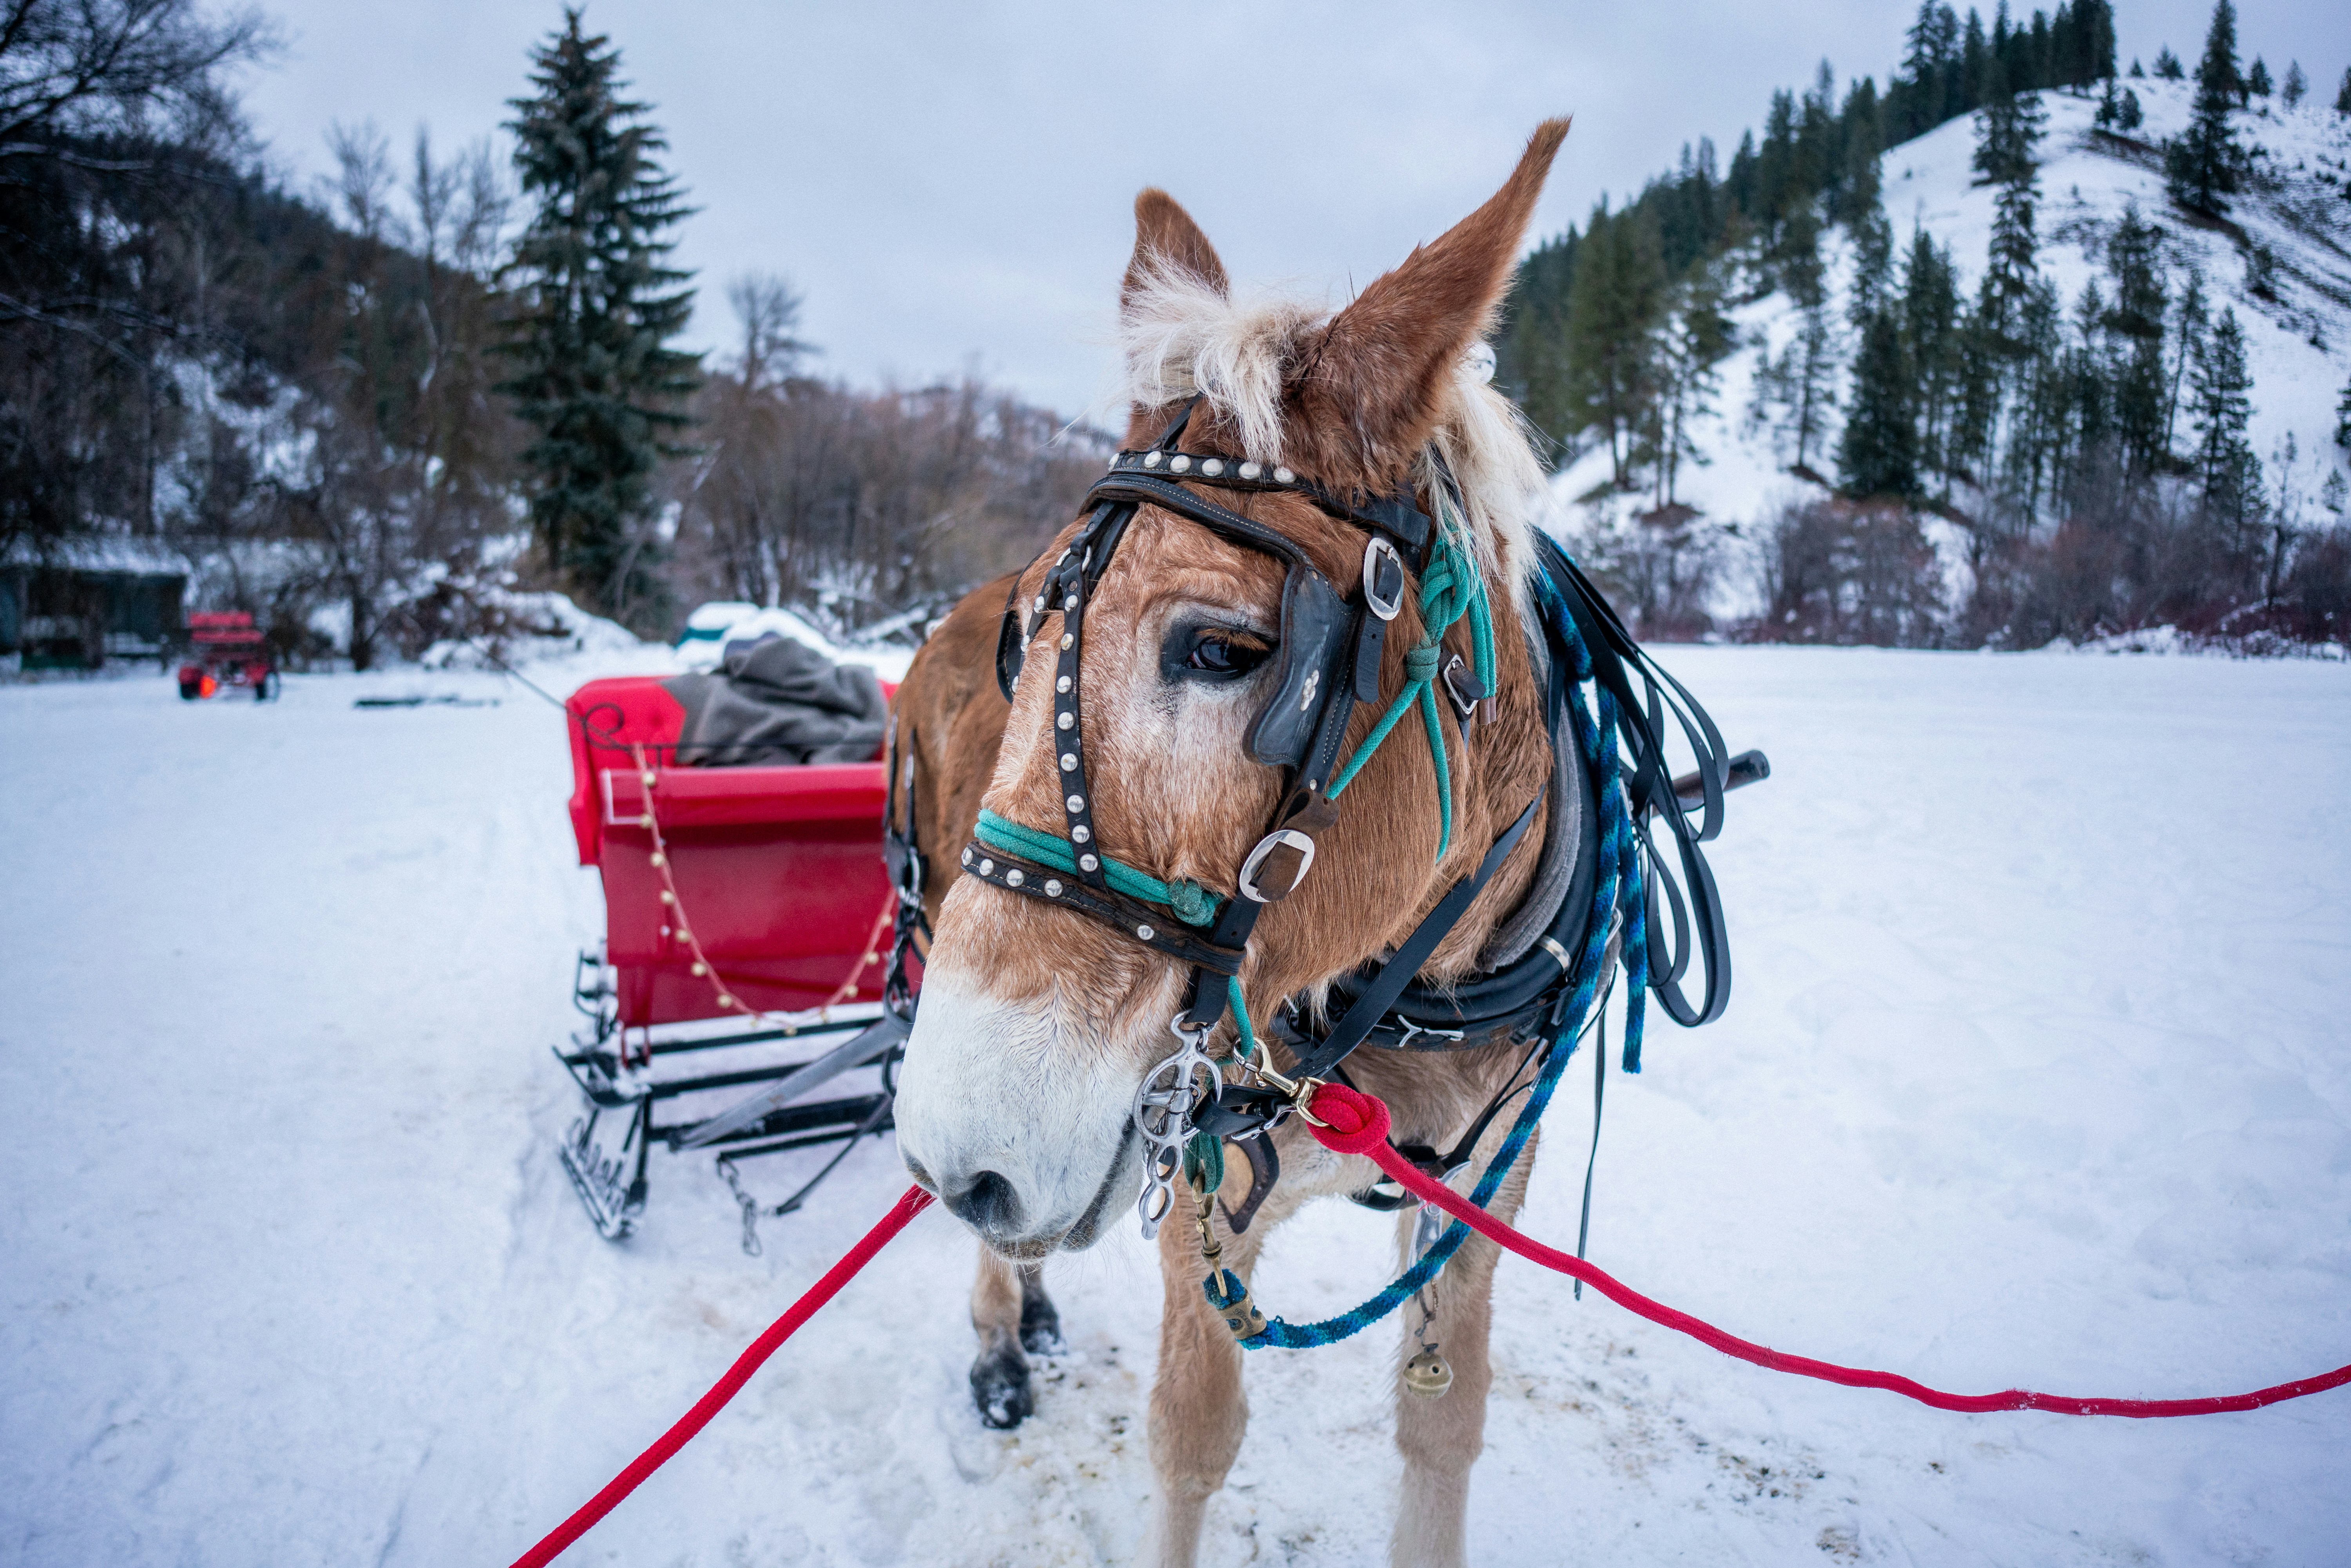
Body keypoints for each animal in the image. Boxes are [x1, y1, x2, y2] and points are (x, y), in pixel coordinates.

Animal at [889, 121, 1595, 1567]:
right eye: (1030, 629)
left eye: (1222, 649)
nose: (949, 1148)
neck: (1407, 992)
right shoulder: (1195, 1176)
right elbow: (1192, 1439)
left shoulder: (1488, 1182)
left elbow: (1443, 1420)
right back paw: (1001, 1335)